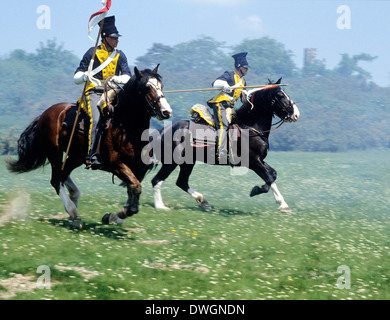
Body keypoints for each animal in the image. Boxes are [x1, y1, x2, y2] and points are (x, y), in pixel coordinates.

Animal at [5, 66, 173, 229]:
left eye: (161, 86)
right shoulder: (117, 165)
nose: (166, 112)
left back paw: (73, 206)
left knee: (63, 175)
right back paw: (74, 214)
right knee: (56, 180)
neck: (126, 127)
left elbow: (133, 193)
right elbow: (135, 190)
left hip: (75, 157)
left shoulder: (138, 168)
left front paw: (114, 216)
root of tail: (44, 115)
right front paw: (118, 214)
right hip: (55, 153)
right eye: (147, 87)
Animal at [148, 78, 300, 212]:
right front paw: (256, 191)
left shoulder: (260, 160)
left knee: (181, 182)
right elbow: (268, 178)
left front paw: (283, 204)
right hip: (171, 162)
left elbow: (273, 174)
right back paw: (160, 206)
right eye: (280, 95)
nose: (296, 114)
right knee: (157, 180)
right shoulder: (253, 161)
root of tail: (162, 131)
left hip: (187, 163)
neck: (250, 128)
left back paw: (203, 201)